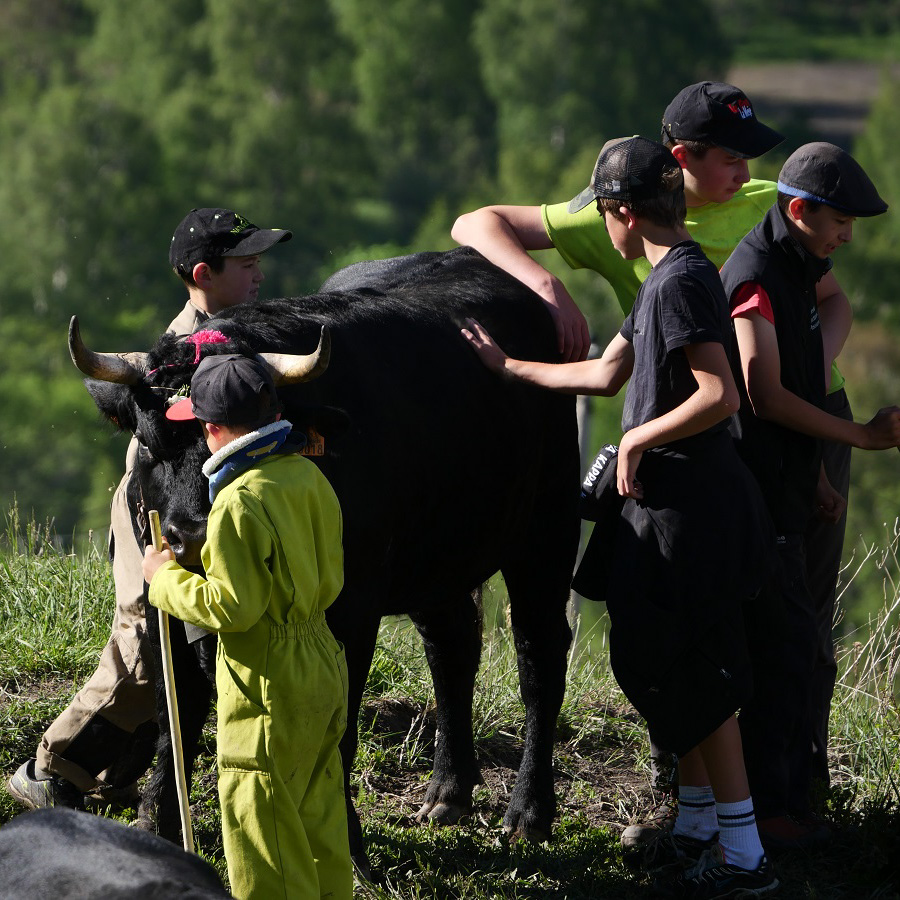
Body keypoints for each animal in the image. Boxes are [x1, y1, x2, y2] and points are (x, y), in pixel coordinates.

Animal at [68, 250, 576, 868]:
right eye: (149, 441)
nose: (190, 537)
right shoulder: (168, 605)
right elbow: (179, 713)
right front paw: (160, 826)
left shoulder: (352, 609)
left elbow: (340, 722)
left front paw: (345, 842)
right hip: (438, 560)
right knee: (452, 646)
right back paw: (447, 792)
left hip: (545, 529)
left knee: (539, 655)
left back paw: (529, 812)